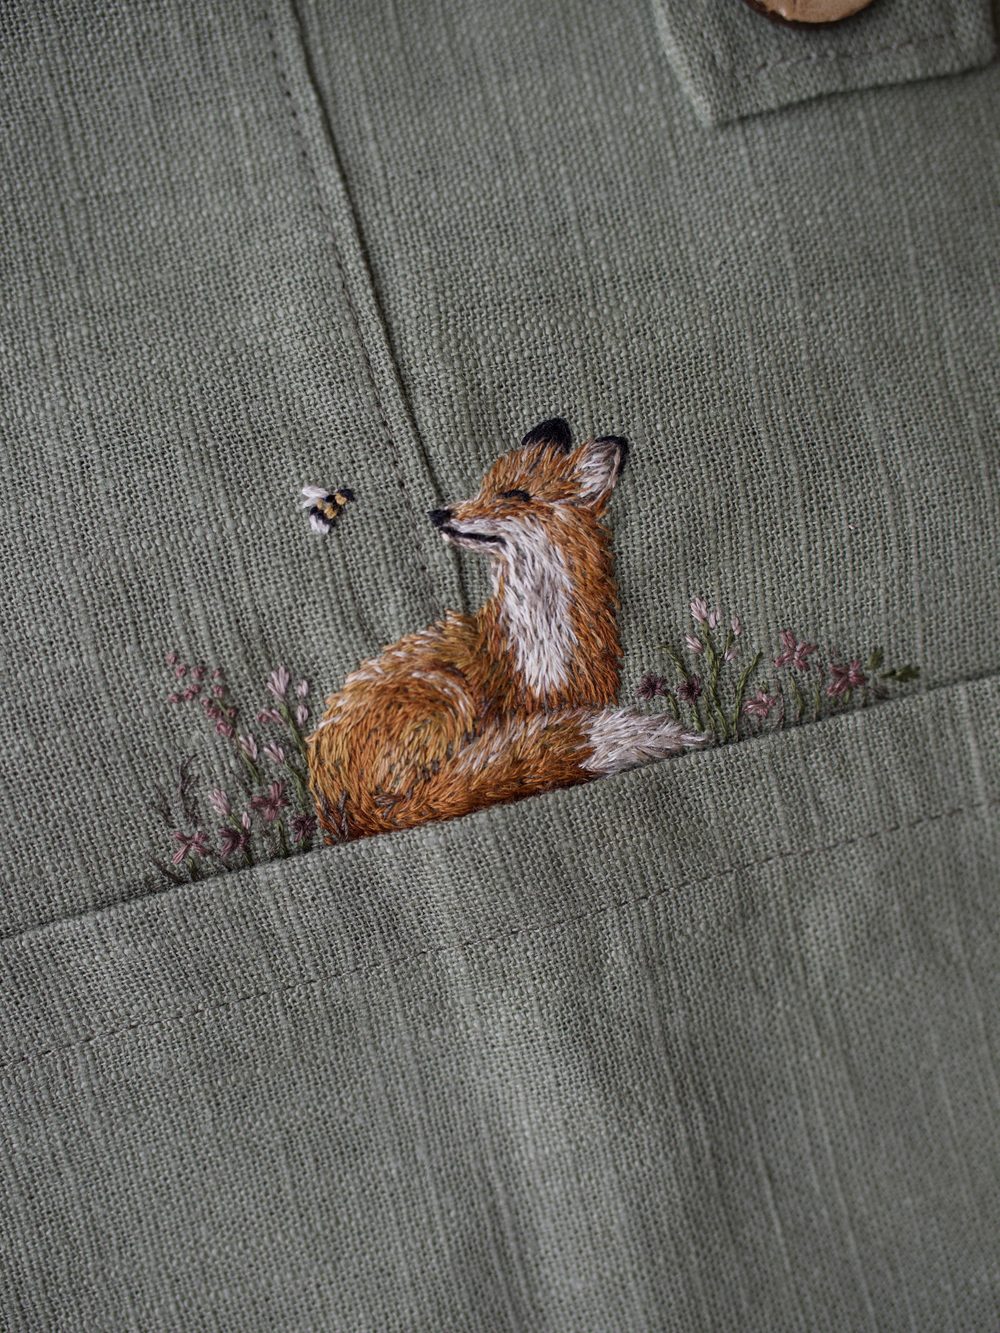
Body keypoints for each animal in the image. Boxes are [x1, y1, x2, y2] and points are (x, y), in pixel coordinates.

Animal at [307, 418, 706, 842]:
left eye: (515, 494)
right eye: (483, 486)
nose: (438, 514)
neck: (540, 635)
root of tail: (338, 805)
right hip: (447, 694)